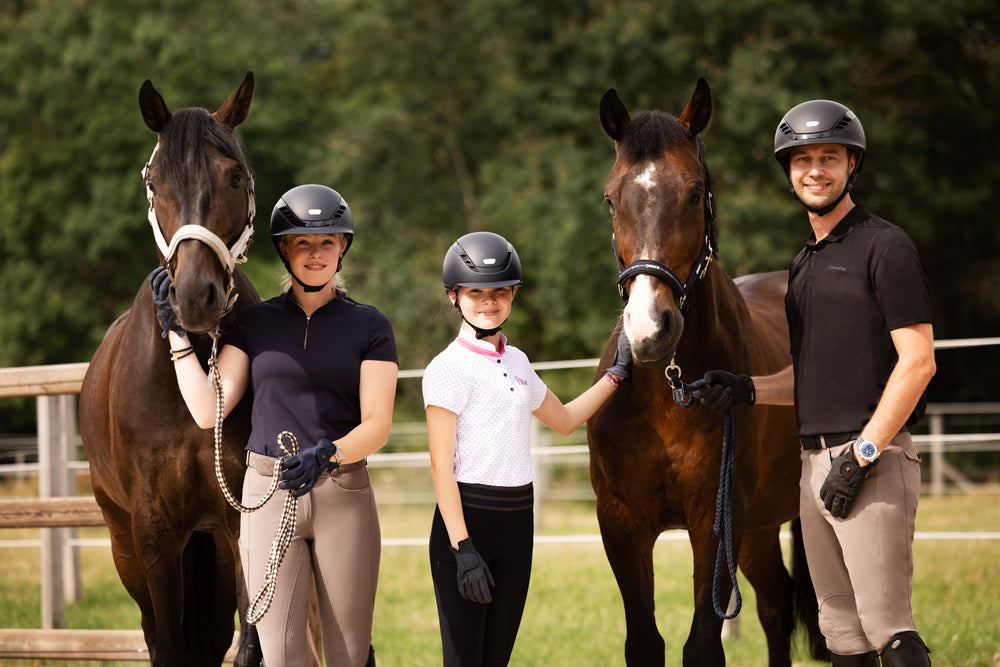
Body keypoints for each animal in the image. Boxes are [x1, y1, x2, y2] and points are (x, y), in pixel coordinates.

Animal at [80, 73, 264, 667]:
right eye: (155, 182)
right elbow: (168, 645)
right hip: (125, 543)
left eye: (234, 176)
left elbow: (251, 644)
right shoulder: (154, 529)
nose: (193, 296)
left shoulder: (238, 515)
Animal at [584, 79, 820, 667]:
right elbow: (645, 642)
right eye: (610, 197)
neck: (665, 397)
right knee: (775, 603)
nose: (651, 328)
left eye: (695, 193)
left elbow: (703, 644)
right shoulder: (621, 521)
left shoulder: (715, 517)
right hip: (758, 528)